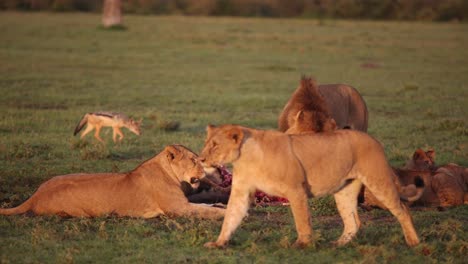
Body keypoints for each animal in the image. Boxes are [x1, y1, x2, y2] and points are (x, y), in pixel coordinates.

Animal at [0, 144, 225, 219]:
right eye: (194, 160)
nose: (208, 167)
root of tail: (35, 196)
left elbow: (207, 205)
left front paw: (221, 205)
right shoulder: (178, 208)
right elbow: (205, 211)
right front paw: (223, 213)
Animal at [199, 124, 418, 248]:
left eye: (215, 145)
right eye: (206, 143)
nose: (201, 159)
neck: (246, 157)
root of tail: (374, 139)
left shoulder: (296, 190)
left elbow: (302, 220)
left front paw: (303, 244)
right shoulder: (241, 192)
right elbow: (230, 217)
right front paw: (219, 243)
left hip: (378, 180)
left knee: (403, 209)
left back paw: (413, 242)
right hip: (344, 191)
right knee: (353, 221)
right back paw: (338, 245)